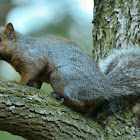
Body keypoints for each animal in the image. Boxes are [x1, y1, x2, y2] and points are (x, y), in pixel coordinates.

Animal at [0, 23, 139, 115]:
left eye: (0, 39)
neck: (18, 46)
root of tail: (99, 86)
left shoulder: (33, 59)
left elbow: (29, 74)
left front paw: (17, 83)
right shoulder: (37, 76)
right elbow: (35, 83)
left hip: (61, 76)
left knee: (79, 103)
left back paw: (61, 98)